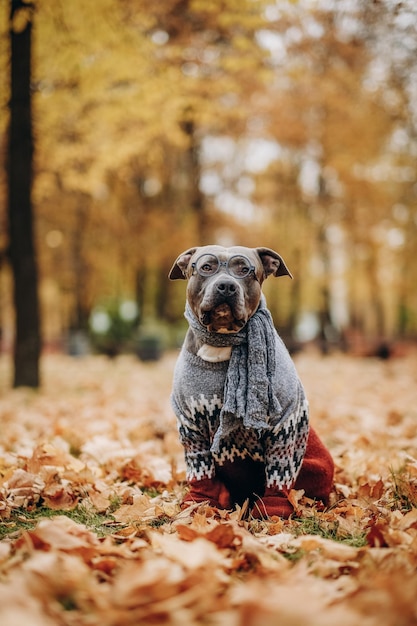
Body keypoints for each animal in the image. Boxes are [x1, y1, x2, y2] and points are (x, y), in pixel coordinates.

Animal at [167, 244, 334, 516]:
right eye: (206, 267)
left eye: (245, 270)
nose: (226, 286)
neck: (221, 344)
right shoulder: (189, 423)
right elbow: (200, 467)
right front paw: (200, 501)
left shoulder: (284, 421)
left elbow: (279, 470)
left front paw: (272, 511)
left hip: (316, 464)